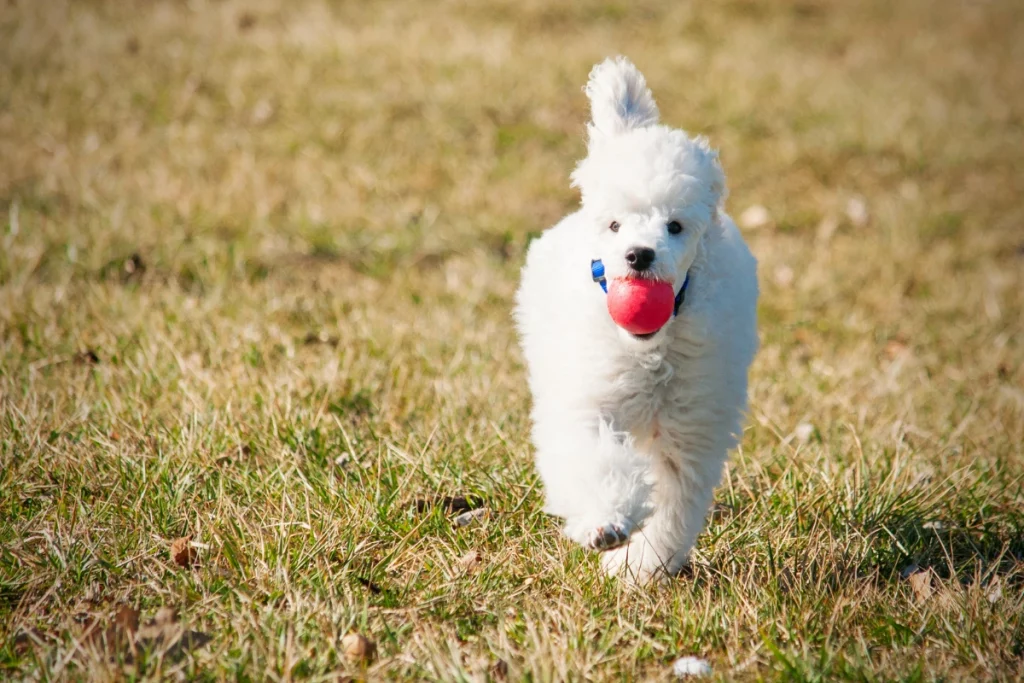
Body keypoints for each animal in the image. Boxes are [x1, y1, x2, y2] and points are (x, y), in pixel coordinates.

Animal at [512, 56, 761, 585]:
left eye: (675, 226)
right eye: (614, 224)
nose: (639, 255)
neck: (650, 349)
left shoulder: (690, 429)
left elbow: (675, 505)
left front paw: (641, 564)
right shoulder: (587, 400)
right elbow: (591, 456)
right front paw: (605, 523)